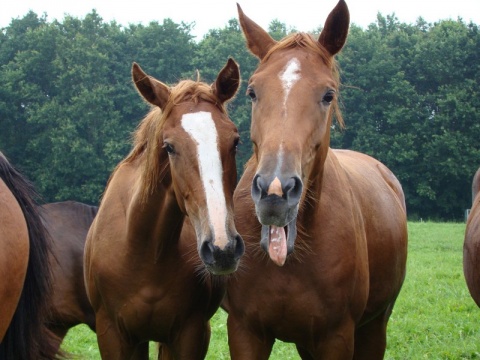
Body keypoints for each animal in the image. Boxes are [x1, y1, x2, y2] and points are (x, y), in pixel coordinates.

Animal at [83, 57, 244, 358]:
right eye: (169, 146)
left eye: (235, 142)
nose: (222, 248)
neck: (145, 250)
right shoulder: (112, 334)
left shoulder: (190, 333)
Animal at [224, 1, 408, 358]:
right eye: (252, 92)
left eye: (328, 95)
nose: (275, 193)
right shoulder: (245, 331)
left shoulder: (337, 335)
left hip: (374, 327)